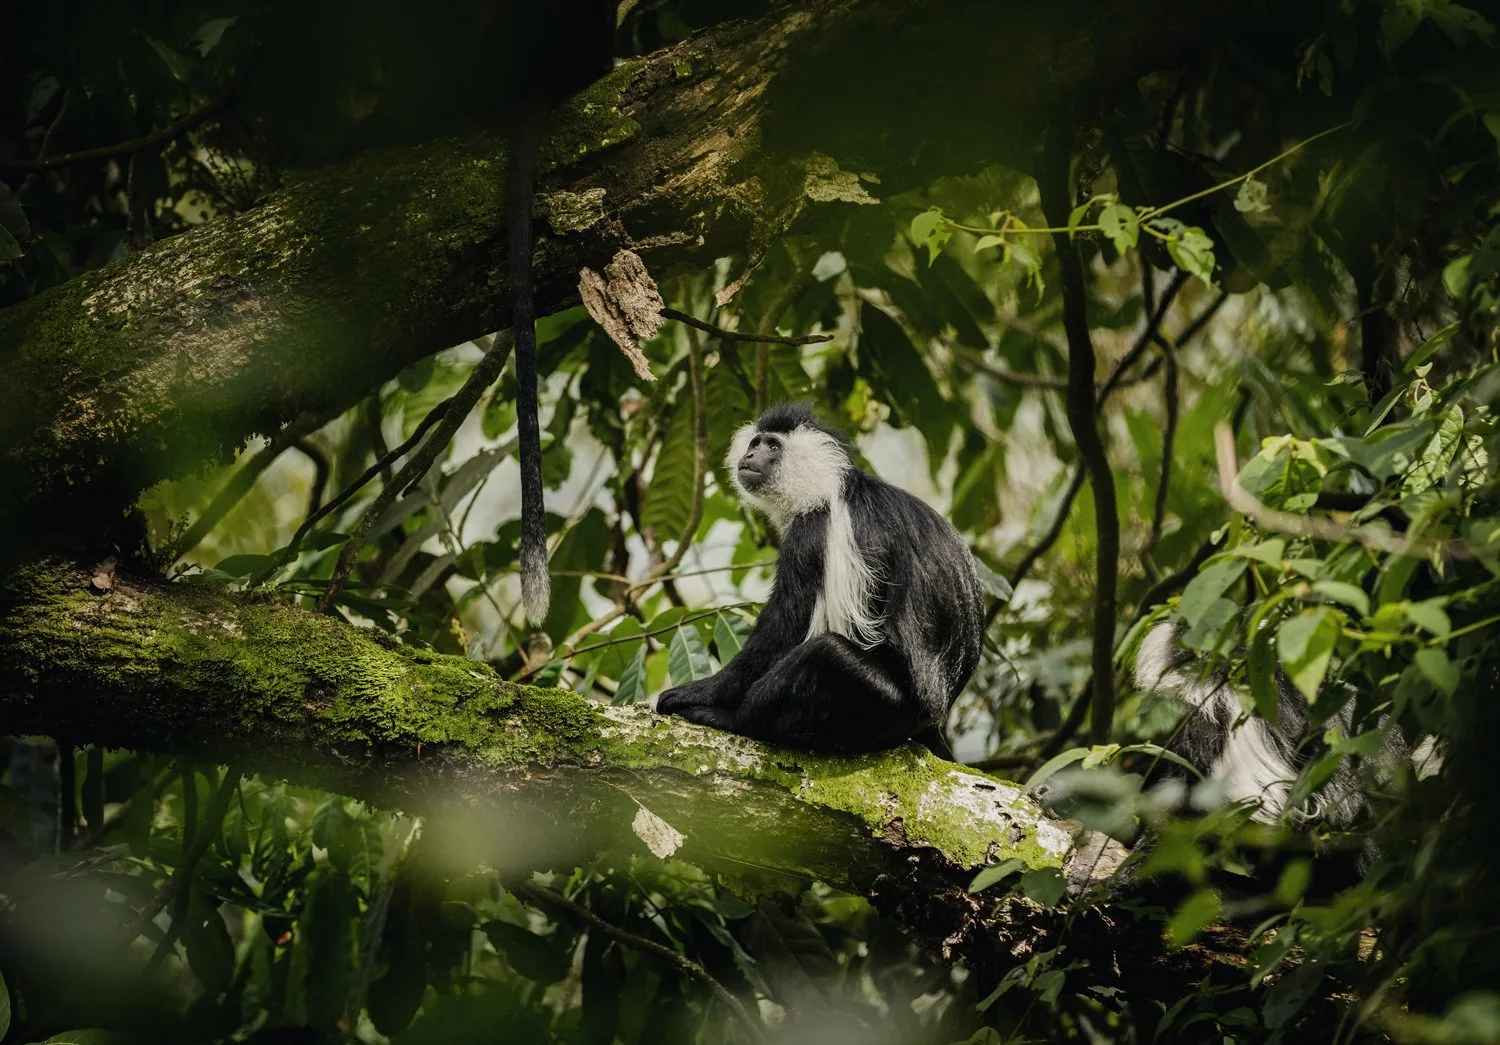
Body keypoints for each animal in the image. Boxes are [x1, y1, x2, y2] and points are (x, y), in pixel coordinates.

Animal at [654, 403, 986, 758]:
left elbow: (783, 629)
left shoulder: (811, 532)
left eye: (772, 446)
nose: (750, 454)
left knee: (825, 653)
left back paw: (734, 720)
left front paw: (698, 692)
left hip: (886, 704)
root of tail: (935, 712)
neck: (827, 487)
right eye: (755, 443)